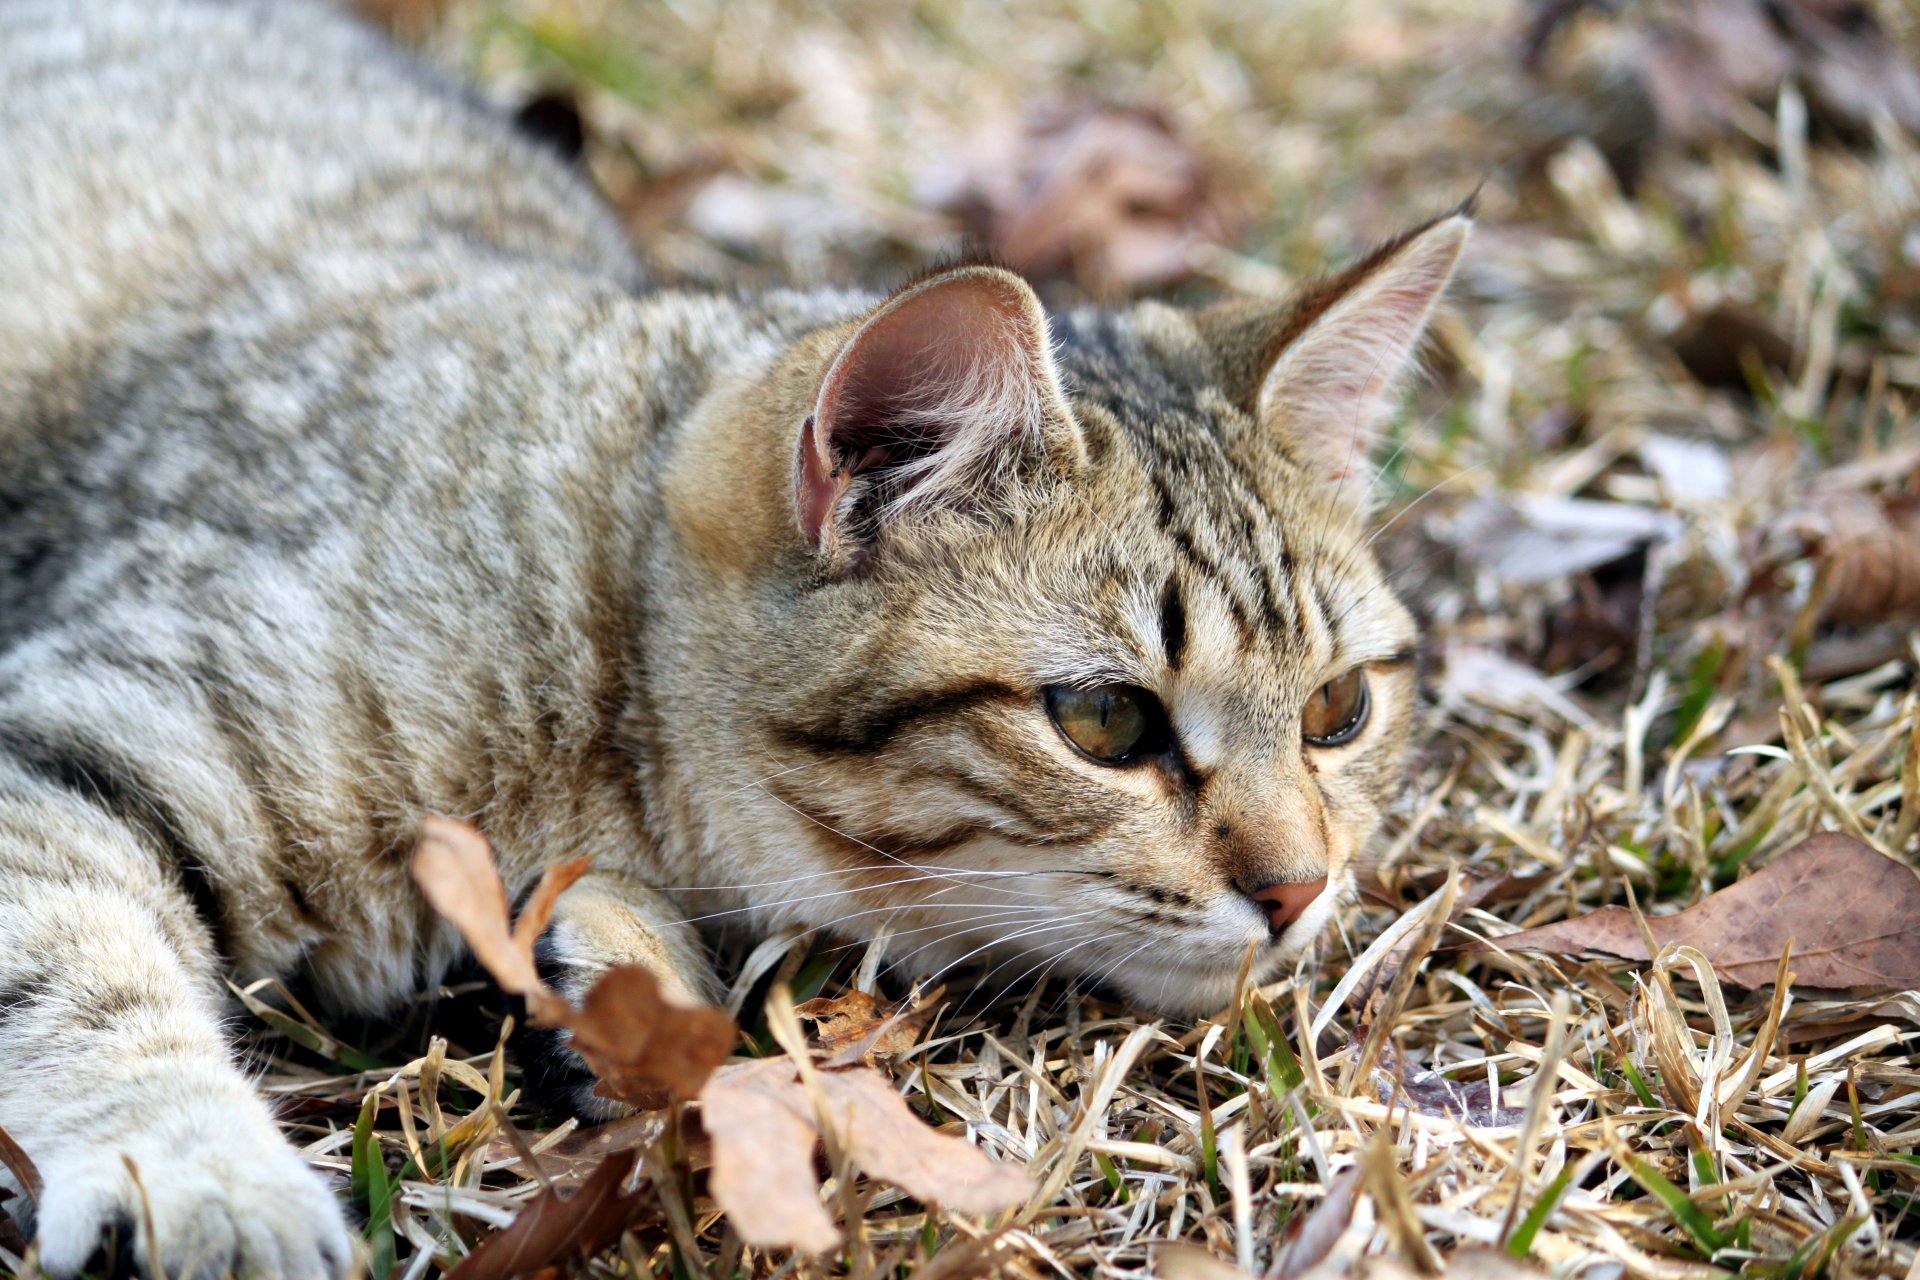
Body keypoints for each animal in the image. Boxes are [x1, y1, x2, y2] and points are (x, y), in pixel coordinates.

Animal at [0, 0, 1466, 1266]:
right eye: (1105, 721)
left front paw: (613, 965)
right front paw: (200, 1179)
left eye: (1338, 710)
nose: (1302, 890)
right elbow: (76, 962)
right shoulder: (74, 729)